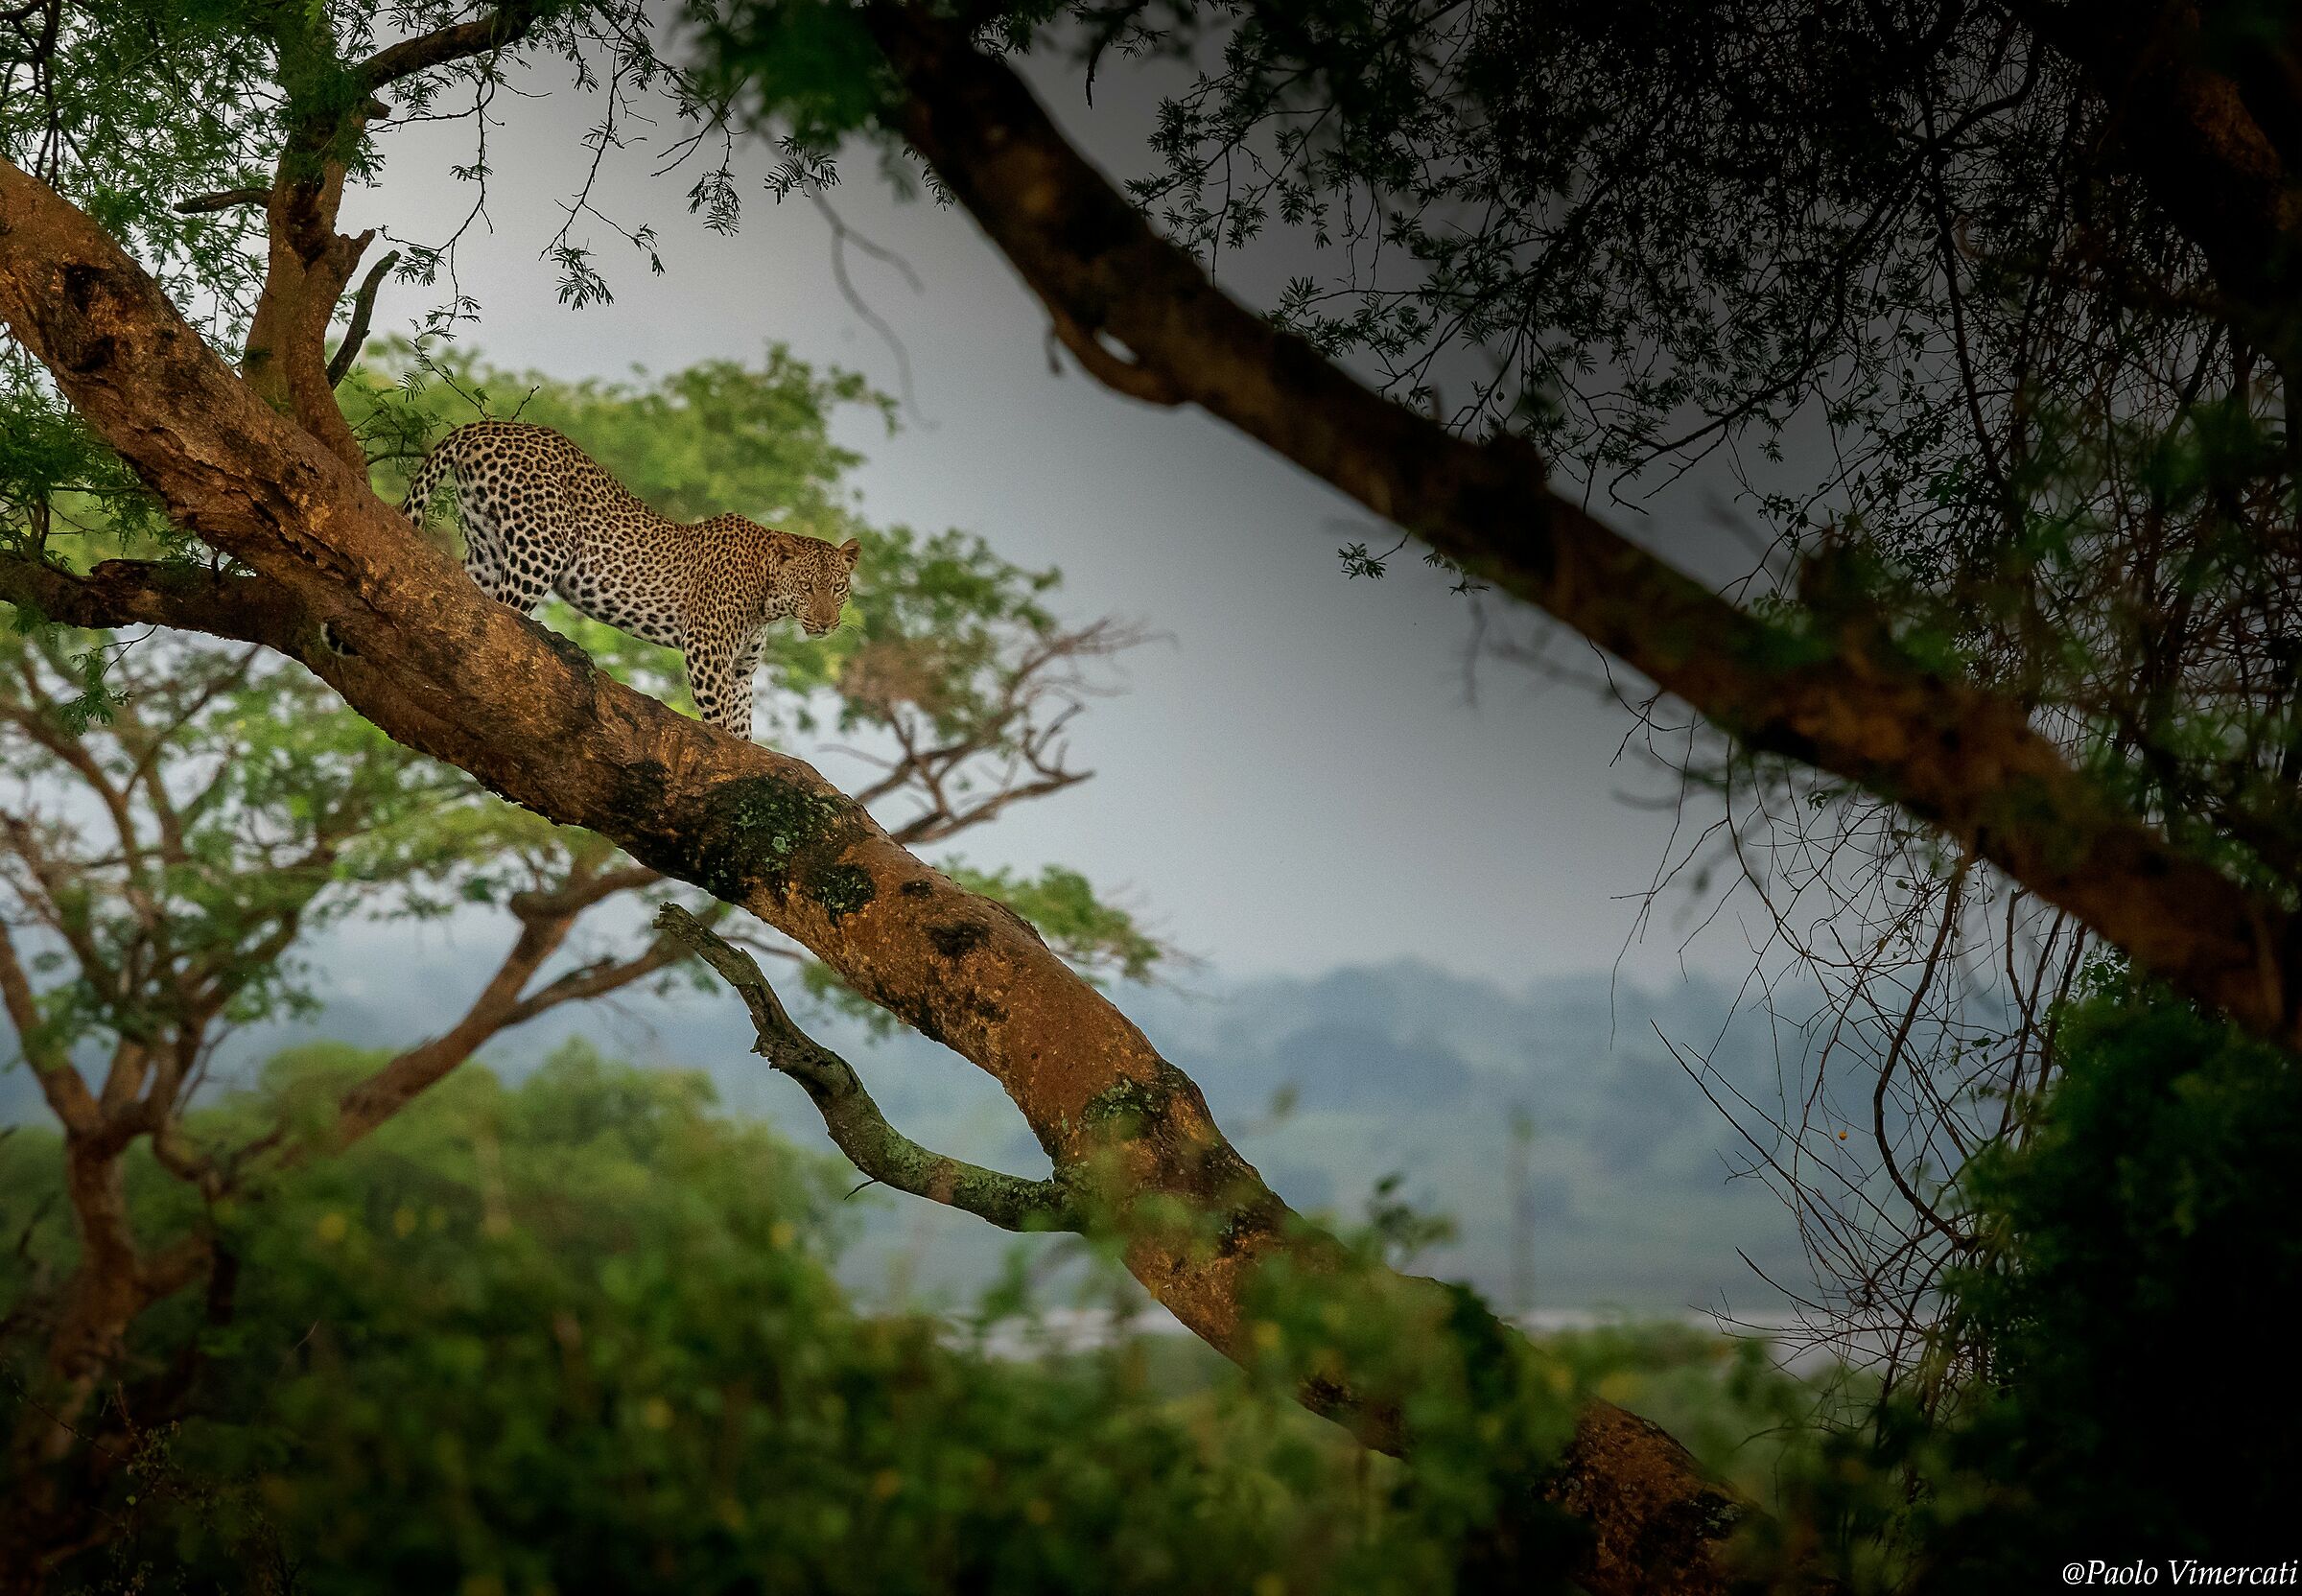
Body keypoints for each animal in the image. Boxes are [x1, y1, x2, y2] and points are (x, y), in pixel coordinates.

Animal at [398, 419, 858, 737]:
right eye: (807, 587)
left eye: (837, 589)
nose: (826, 624)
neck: (770, 602)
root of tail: (488, 425)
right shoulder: (706, 649)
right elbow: (720, 722)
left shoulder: (741, 671)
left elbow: (742, 728)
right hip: (542, 549)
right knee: (499, 624)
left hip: (487, 550)